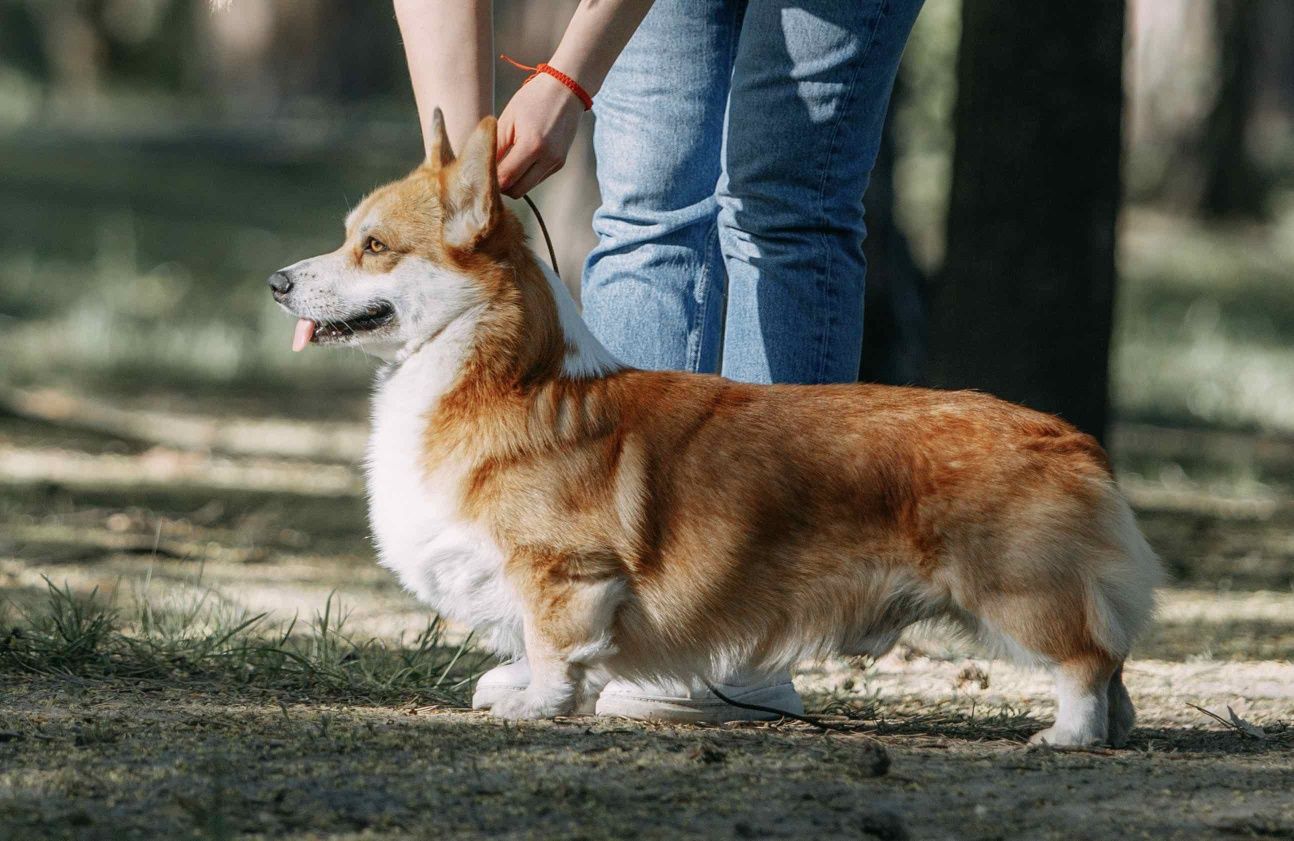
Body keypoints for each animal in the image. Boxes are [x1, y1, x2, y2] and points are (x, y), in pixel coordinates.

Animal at [270, 113, 1164, 745]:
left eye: (374, 245)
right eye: (351, 238)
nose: (278, 281)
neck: (492, 373)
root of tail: (1073, 439)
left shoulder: (562, 571)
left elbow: (554, 644)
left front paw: (541, 705)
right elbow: (529, 642)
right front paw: (519, 687)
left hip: (1018, 587)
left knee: (1087, 657)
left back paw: (1066, 734)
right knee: (1113, 658)